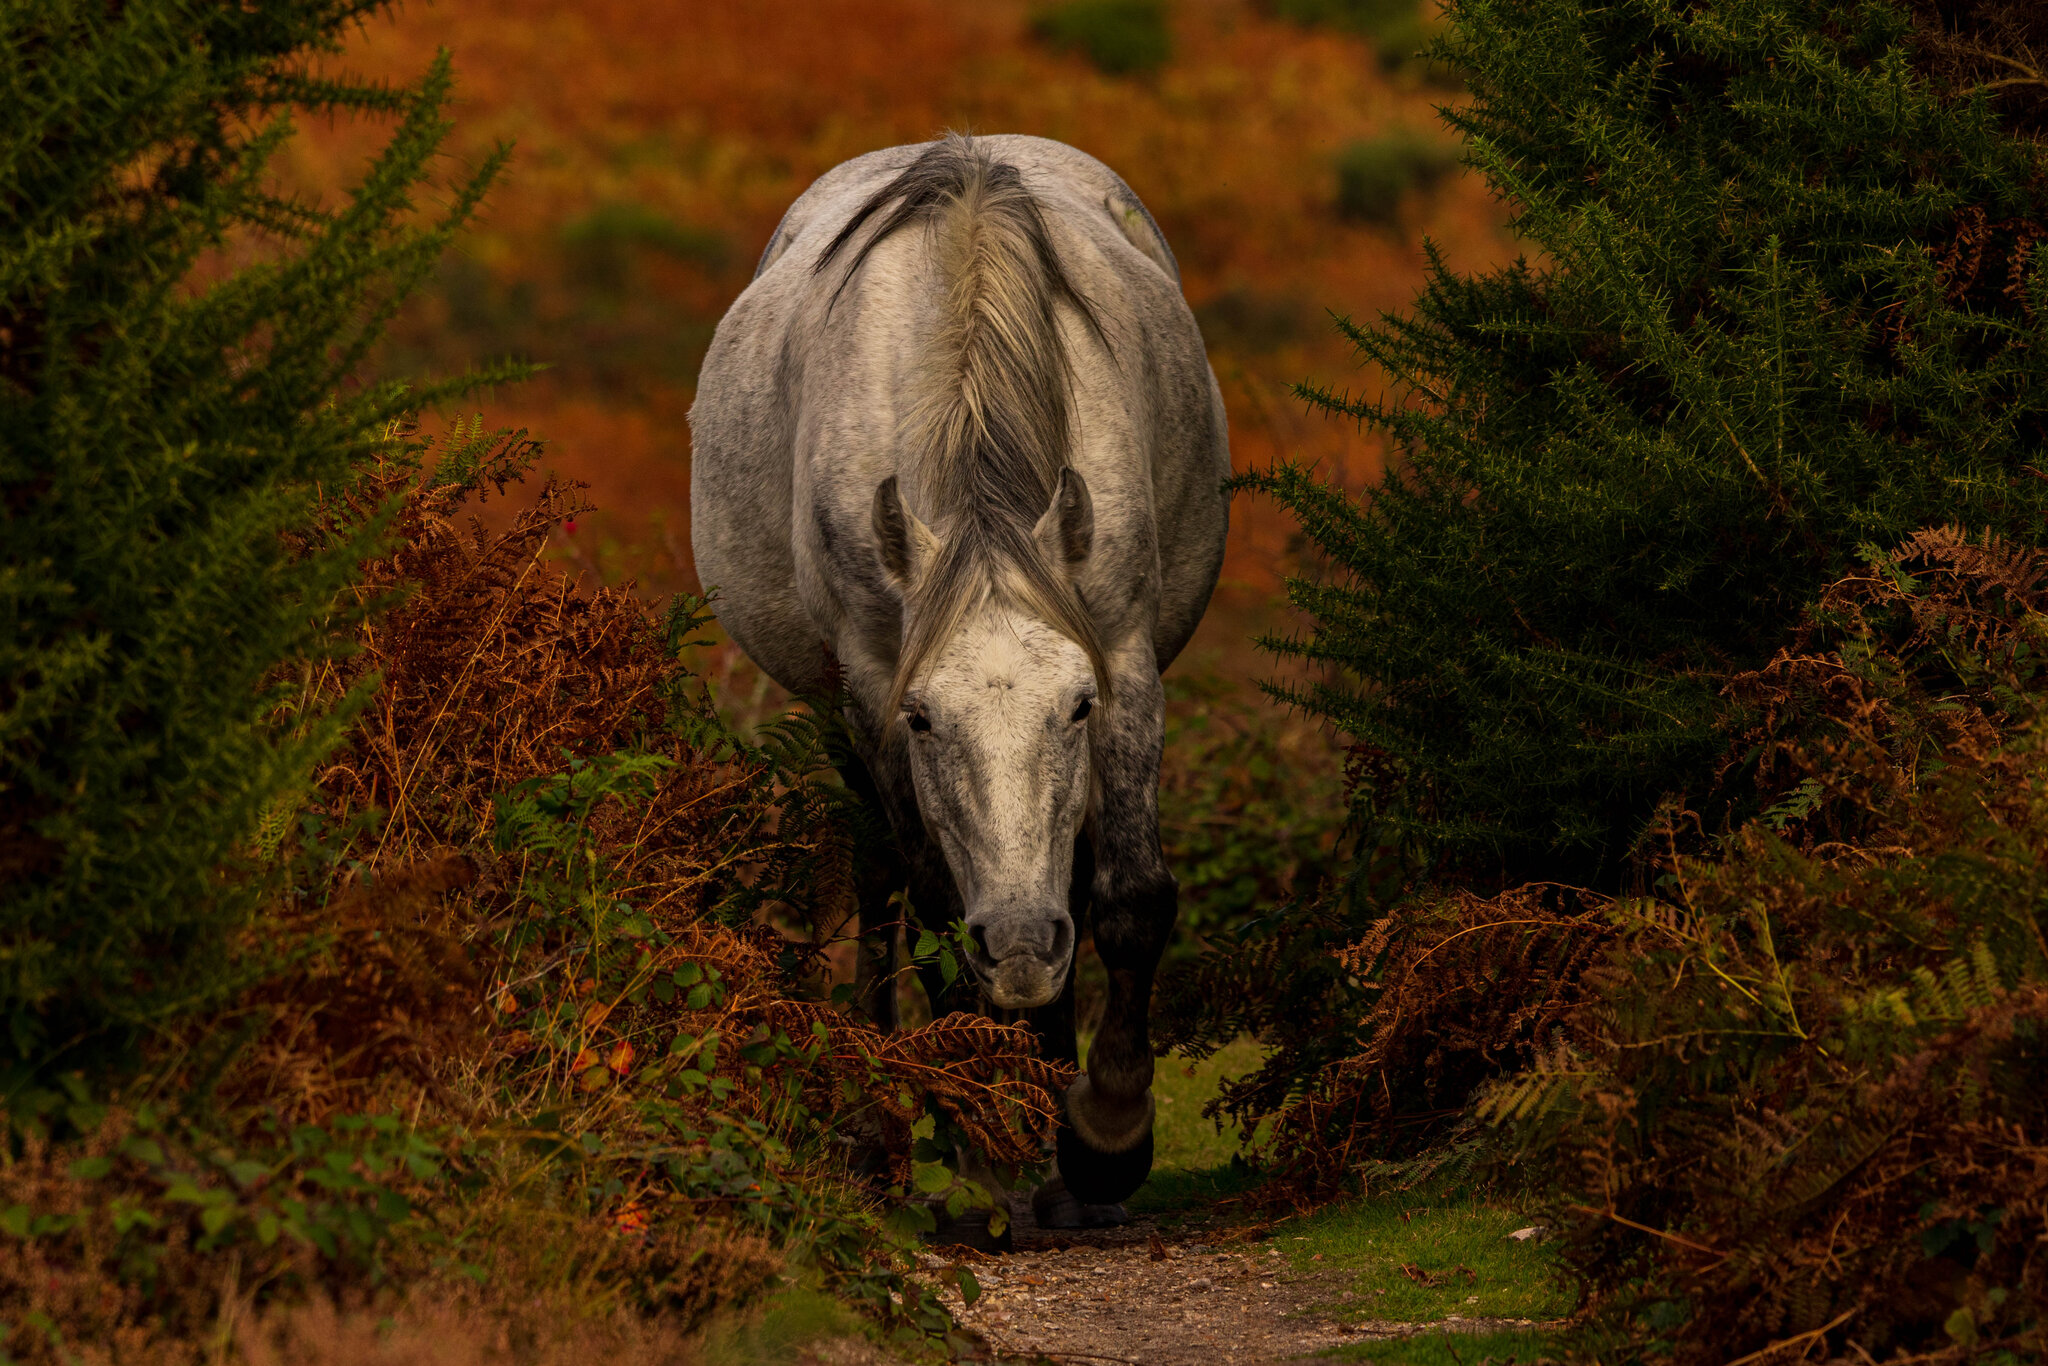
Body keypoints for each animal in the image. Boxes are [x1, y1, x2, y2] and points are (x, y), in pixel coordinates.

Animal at [688, 133, 1228, 1236]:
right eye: (925, 717)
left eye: (1076, 703)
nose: (1019, 943)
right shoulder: (867, 684)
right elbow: (934, 905)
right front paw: (977, 1143)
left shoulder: (1121, 650)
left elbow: (1128, 897)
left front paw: (1102, 1139)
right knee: (881, 883)